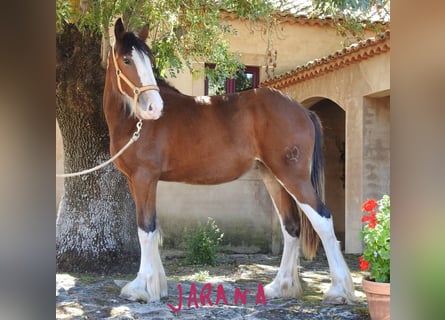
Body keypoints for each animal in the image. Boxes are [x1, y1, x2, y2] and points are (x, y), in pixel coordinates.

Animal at [104, 18, 354, 306]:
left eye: (149, 59)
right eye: (127, 59)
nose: (154, 108)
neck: (135, 120)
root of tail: (303, 109)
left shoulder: (144, 178)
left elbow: (145, 230)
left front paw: (141, 289)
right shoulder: (138, 181)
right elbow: (154, 230)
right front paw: (157, 286)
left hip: (293, 177)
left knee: (322, 220)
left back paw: (339, 290)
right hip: (272, 176)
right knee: (291, 227)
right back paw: (280, 287)